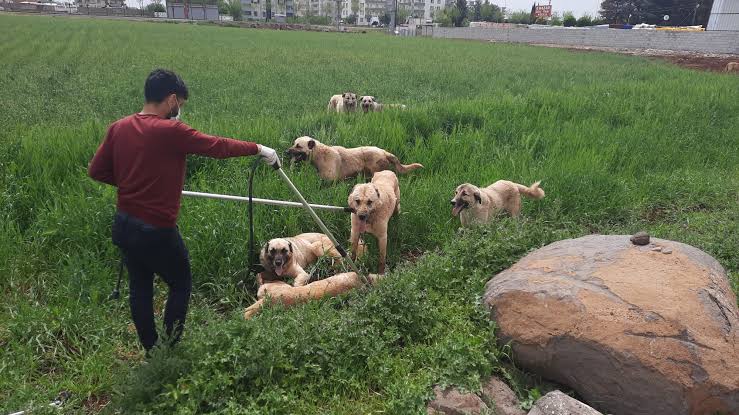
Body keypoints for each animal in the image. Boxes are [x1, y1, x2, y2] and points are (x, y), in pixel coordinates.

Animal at [284, 137, 422, 181]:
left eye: (298, 146)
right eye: (293, 144)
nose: (286, 152)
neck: (320, 154)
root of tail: (384, 152)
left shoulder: (330, 179)